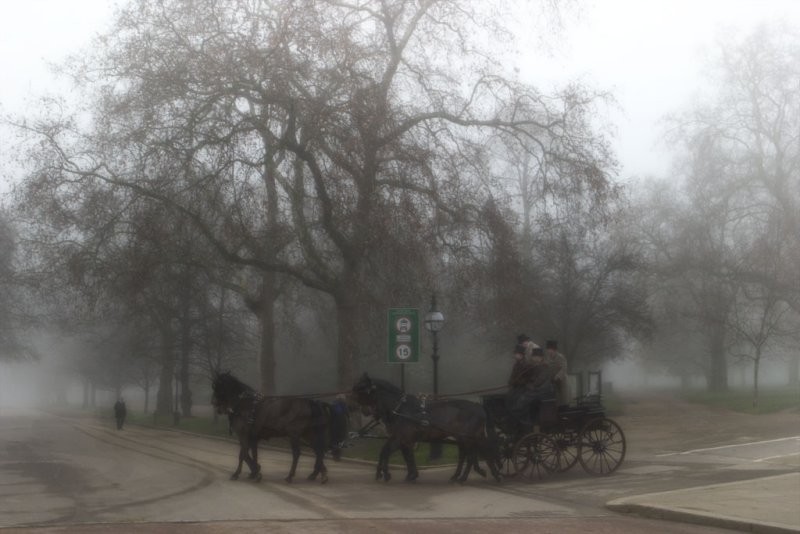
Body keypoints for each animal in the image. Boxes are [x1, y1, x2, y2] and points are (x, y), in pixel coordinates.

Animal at [211, 372, 346, 486]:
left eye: (218, 387)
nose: (214, 403)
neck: (246, 405)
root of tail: (310, 402)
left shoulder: (244, 435)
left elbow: (243, 455)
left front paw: (244, 473)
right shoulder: (252, 437)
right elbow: (249, 454)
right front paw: (254, 471)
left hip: (294, 434)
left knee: (297, 454)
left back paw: (290, 476)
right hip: (308, 434)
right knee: (318, 451)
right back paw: (321, 474)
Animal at [352, 372, 500, 486]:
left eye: (361, 391)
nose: (365, 412)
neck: (401, 409)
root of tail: (478, 406)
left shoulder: (400, 438)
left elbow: (386, 452)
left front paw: (385, 474)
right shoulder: (405, 440)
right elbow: (407, 457)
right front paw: (411, 475)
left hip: (467, 439)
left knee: (470, 458)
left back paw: (464, 478)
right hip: (464, 439)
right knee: (465, 456)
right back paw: (459, 476)